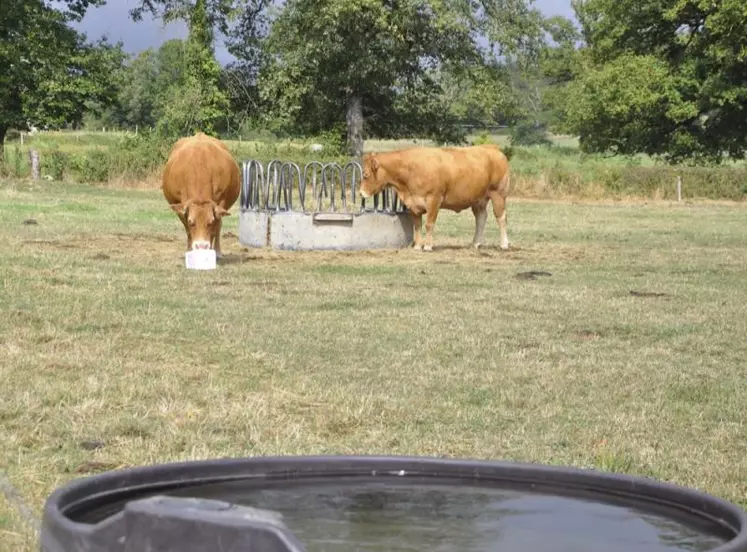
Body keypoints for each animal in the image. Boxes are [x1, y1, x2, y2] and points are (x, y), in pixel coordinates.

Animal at [360, 144, 512, 252]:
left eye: (366, 174)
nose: (361, 193)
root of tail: (492, 148)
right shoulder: (414, 204)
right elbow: (417, 225)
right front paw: (417, 246)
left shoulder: (434, 200)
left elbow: (429, 224)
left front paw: (427, 246)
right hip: (478, 199)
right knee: (481, 218)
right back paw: (475, 243)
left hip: (498, 194)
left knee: (501, 218)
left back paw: (504, 244)